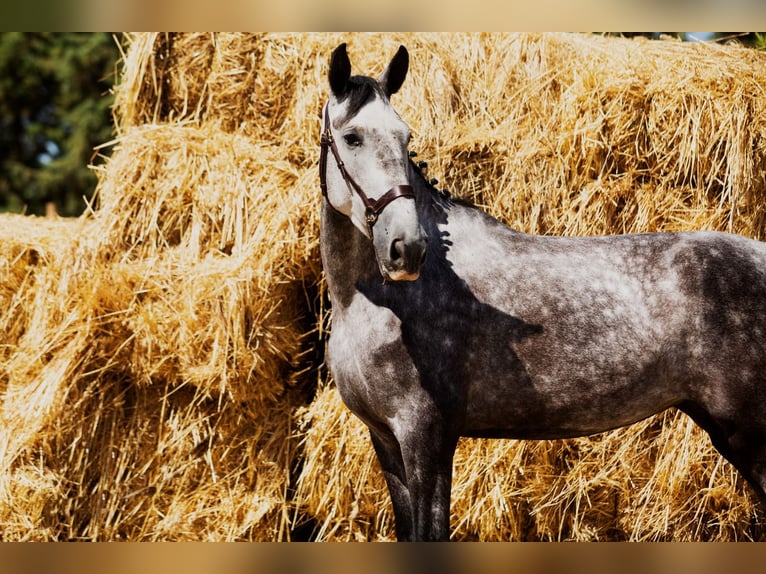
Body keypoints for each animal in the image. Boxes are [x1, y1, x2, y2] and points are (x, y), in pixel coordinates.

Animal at [320, 42, 766, 544]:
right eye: (353, 137)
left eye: (405, 136)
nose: (407, 247)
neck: (375, 306)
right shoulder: (386, 440)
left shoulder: (427, 435)